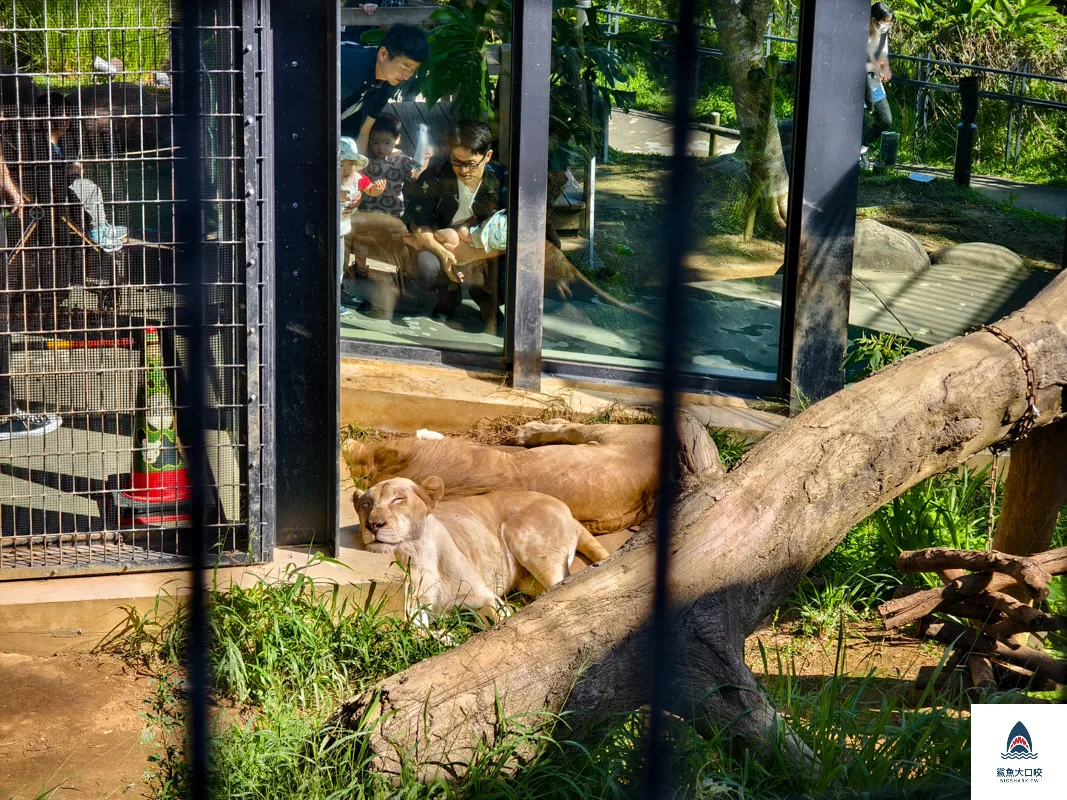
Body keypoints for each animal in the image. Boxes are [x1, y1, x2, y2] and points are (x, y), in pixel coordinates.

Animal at [356, 480, 610, 622]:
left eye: (398, 499)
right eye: (366, 505)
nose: (373, 525)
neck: (415, 553)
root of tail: (565, 507)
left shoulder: (484, 595)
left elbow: (501, 621)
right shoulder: (415, 606)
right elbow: (417, 632)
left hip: (527, 541)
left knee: (563, 585)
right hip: (527, 581)